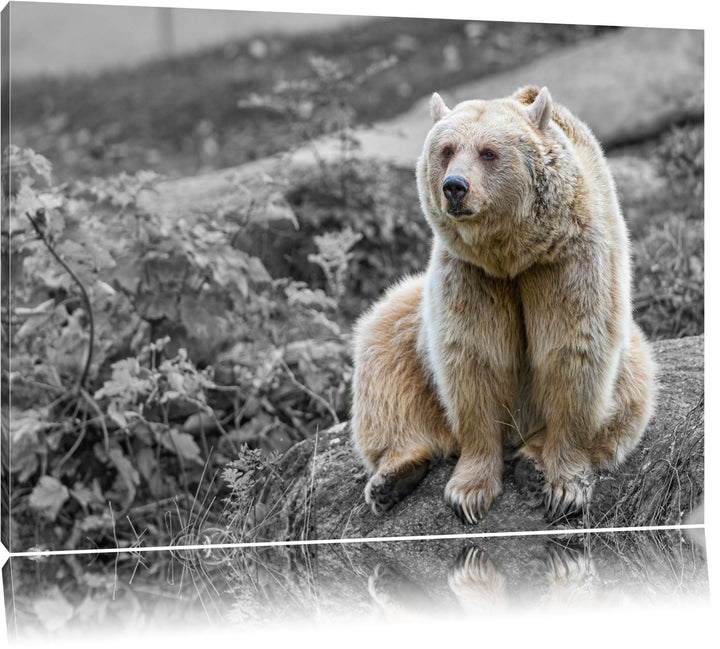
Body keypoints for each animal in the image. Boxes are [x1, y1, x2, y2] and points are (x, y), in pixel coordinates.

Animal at [351, 85, 656, 524]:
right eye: (446, 150)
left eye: (488, 152)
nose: (454, 187)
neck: (513, 254)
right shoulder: (471, 275)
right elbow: (473, 358)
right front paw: (468, 492)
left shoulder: (568, 262)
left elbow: (572, 352)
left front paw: (564, 487)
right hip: (409, 319)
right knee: (384, 358)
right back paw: (394, 476)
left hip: (630, 353)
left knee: (630, 392)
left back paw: (531, 462)